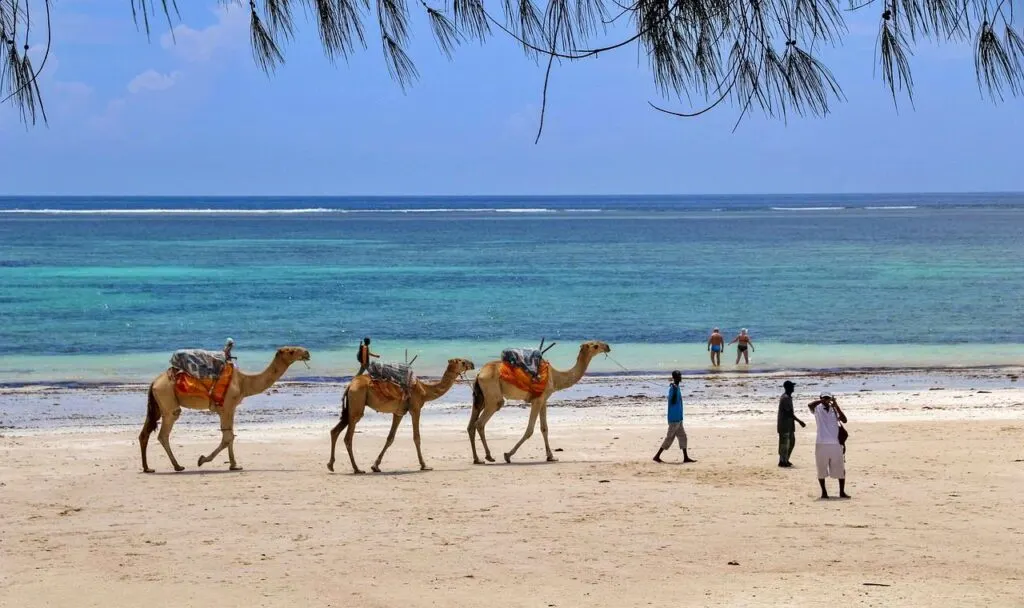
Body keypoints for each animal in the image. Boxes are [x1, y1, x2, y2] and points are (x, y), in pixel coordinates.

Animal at [139, 346, 311, 473]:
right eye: (291, 351)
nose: (307, 352)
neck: (244, 382)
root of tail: (154, 382)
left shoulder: (230, 408)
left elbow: (230, 435)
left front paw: (233, 465)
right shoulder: (226, 407)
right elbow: (227, 437)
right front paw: (203, 460)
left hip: (158, 404)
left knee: (145, 433)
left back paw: (148, 468)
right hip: (168, 401)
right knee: (163, 434)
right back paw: (177, 466)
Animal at [327, 357, 475, 474]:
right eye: (462, 361)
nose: (472, 364)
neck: (424, 391)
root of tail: (350, 386)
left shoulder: (398, 413)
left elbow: (390, 438)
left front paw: (375, 466)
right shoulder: (415, 409)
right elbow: (417, 437)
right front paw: (424, 465)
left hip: (351, 408)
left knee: (335, 431)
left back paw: (331, 465)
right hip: (357, 403)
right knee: (348, 437)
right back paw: (357, 469)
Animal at [468, 340, 611, 464]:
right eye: (595, 346)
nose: (608, 346)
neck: (556, 377)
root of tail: (479, 374)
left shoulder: (544, 400)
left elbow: (544, 428)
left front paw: (551, 456)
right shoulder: (537, 400)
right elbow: (530, 430)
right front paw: (508, 455)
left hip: (480, 398)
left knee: (471, 426)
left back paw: (477, 459)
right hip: (493, 396)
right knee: (480, 422)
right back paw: (489, 456)